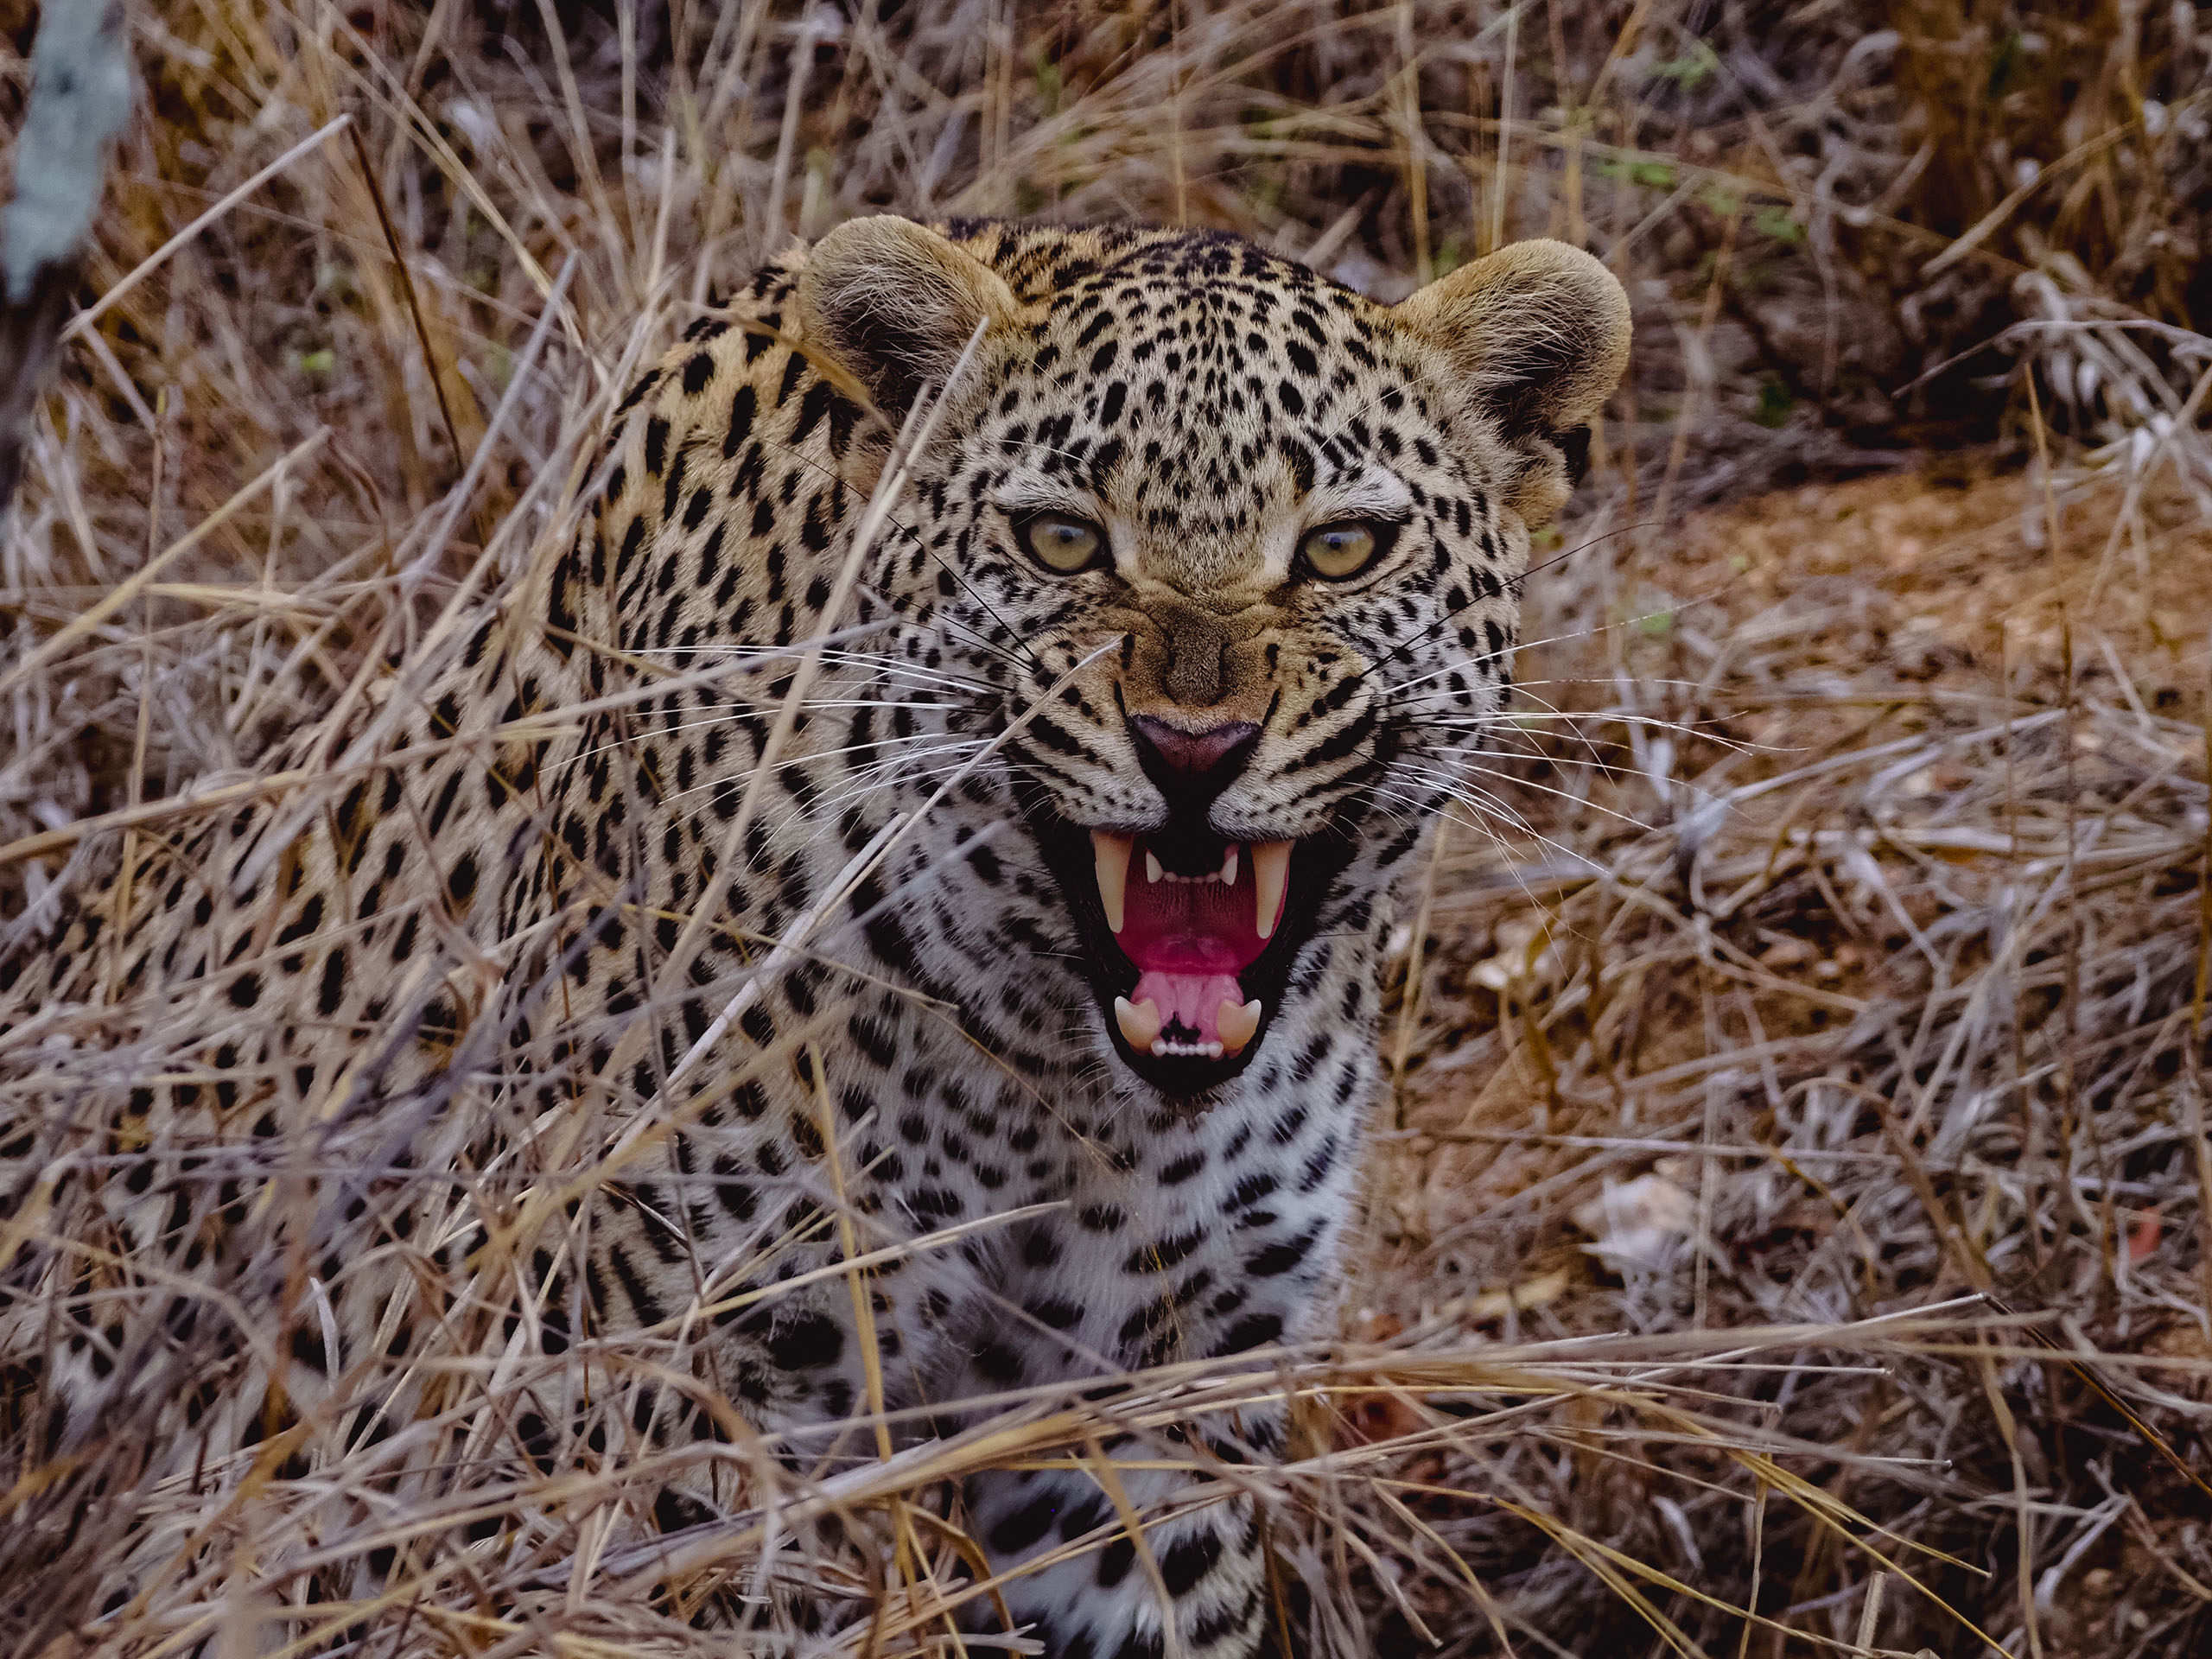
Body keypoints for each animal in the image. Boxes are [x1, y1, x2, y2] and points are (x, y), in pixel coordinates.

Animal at [0, 216, 1628, 1656]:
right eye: (1059, 539)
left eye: (1343, 549)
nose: (1192, 748)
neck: (1065, 1081)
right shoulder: (673, 1388)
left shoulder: (1149, 1403)